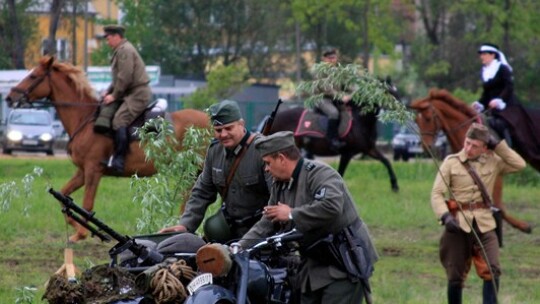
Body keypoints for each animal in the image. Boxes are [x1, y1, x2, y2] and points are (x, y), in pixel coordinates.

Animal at [5, 56, 209, 242]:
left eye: (33, 76)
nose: (9, 97)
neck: (85, 119)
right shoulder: (82, 172)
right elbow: (64, 195)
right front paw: (77, 228)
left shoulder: (93, 170)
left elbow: (87, 204)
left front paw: (82, 233)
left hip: (195, 169)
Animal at [414, 89, 532, 234]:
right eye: (416, 121)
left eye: (428, 118)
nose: (426, 148)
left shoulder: (497, 173)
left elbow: (498, 206)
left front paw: (523, 226)